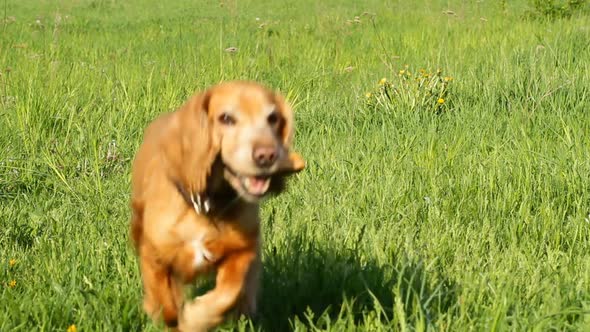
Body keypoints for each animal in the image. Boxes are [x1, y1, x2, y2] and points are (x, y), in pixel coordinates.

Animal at [130, 81, 306, 332]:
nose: (267, 155)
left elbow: (228, 292)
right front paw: (167, 314)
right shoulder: (154, 253)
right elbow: (165, 302)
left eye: (272, 118)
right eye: (226, 118)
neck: (207, 207)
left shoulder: (243, 249)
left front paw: (197, 317)